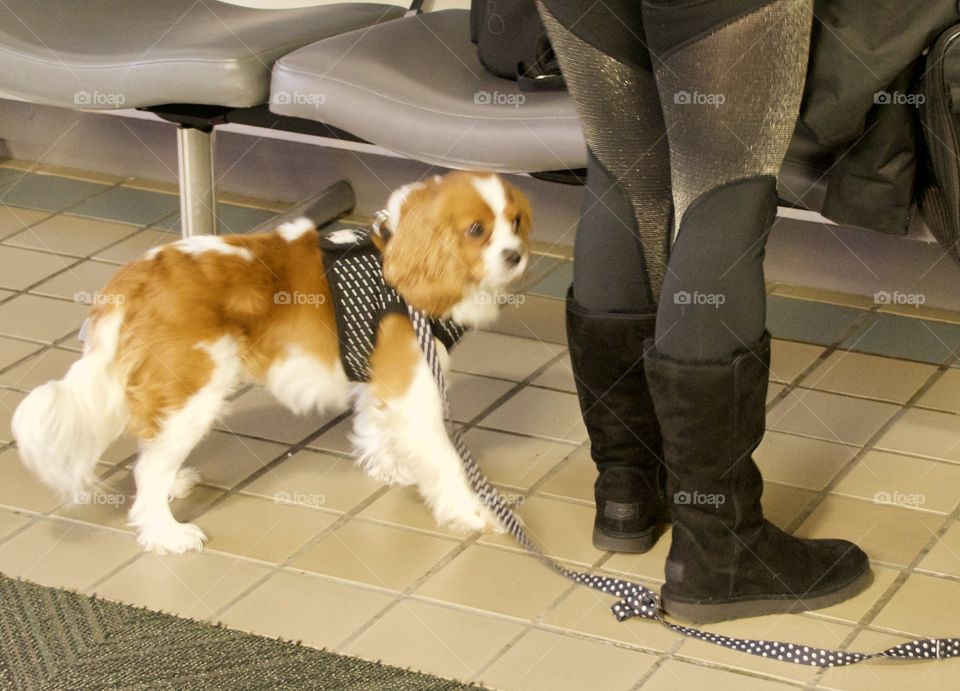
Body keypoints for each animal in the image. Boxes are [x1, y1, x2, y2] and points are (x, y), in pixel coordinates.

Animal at [11, 173, 532, 556]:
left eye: (515, 222)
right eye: (476, 230)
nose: (515, 255)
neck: (396, 259)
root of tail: (134, 279)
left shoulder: (376, 379)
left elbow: (375, 427)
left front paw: (389, 466)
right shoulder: (414, 388)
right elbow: (446, 460)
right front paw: (472, 512)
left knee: (151, 453)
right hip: (195, 392)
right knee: (148, 471)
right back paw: (166, 533)